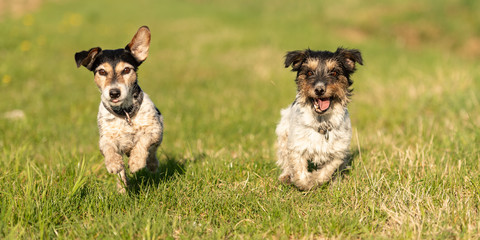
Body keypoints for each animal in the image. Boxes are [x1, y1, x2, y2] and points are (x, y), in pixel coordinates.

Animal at [74, 25, 163, 192]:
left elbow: (143, 140)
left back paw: (151, 164)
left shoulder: (155, 130)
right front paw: (113, 163)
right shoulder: (105, 138)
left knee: (152, 153)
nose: (114, 92)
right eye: (102, 72)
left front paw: (136, 162)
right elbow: (108, 148)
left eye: (126, 70)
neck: (125, 113)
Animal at [276, 47, 362, 190]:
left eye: (334, 72)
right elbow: (299, 171)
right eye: (310, 72)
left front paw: (315, 179)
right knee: (285, 159)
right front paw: (306, 183)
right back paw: (286, 176)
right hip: (283, 133)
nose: (319, 89)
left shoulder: (338, 151)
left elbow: (326, 171)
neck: (322, 123)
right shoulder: (297, 147)